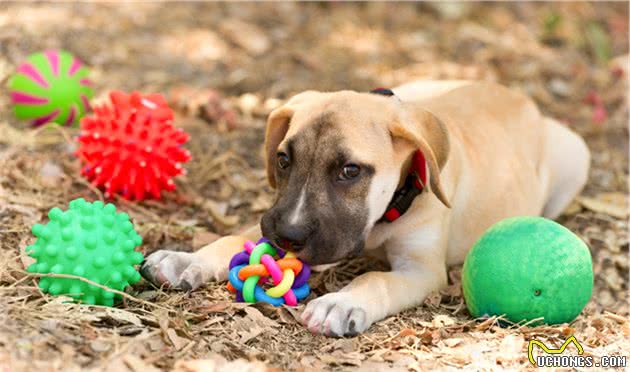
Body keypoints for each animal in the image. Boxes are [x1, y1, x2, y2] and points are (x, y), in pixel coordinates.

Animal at [141, 80, 592, 338]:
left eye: (350, 171)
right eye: (283, 159)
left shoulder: (421, 270)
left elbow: (377, 279)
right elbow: (233, 237)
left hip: (576, 154)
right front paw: (186, 259)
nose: (287, 236)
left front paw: (340, 304)